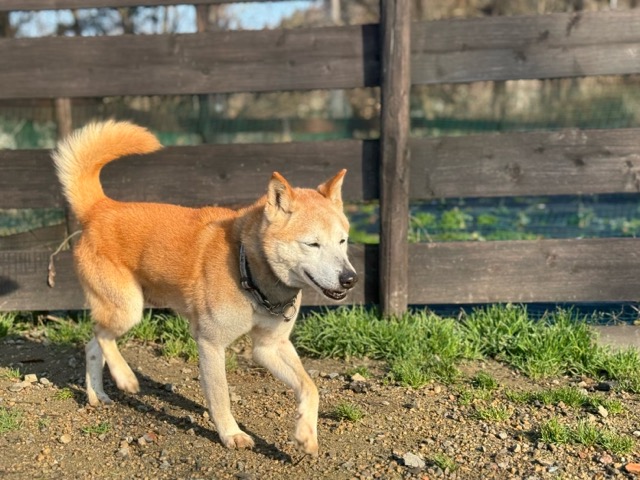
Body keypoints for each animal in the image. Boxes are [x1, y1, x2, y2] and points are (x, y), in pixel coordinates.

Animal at [52, 120, 358, 456]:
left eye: (342, 241)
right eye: (312, 244)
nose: (349, 278)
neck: (248, 270)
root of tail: (100, 207)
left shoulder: (270, 346)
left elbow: (310, 386)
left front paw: (306, 434)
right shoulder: (211, 344)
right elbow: (221, 396)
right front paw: (231, 434)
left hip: (120, 308)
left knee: (92, 344)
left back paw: (98, 395)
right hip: (128, 308)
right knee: (101, 336)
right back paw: (125, 377)